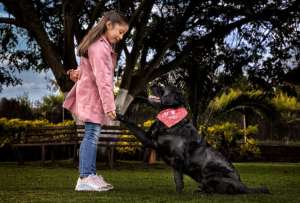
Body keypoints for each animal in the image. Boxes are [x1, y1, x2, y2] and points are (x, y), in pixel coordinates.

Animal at [116, 85, 270, 193]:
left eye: (163, 88)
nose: (153, 84)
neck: (170, 118)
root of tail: (243, 185)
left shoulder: (177, 158)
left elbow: (177, 179)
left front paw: (179, 193)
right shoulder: (149, 140)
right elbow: (133, 125)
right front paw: (119, 115)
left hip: (211, 174)